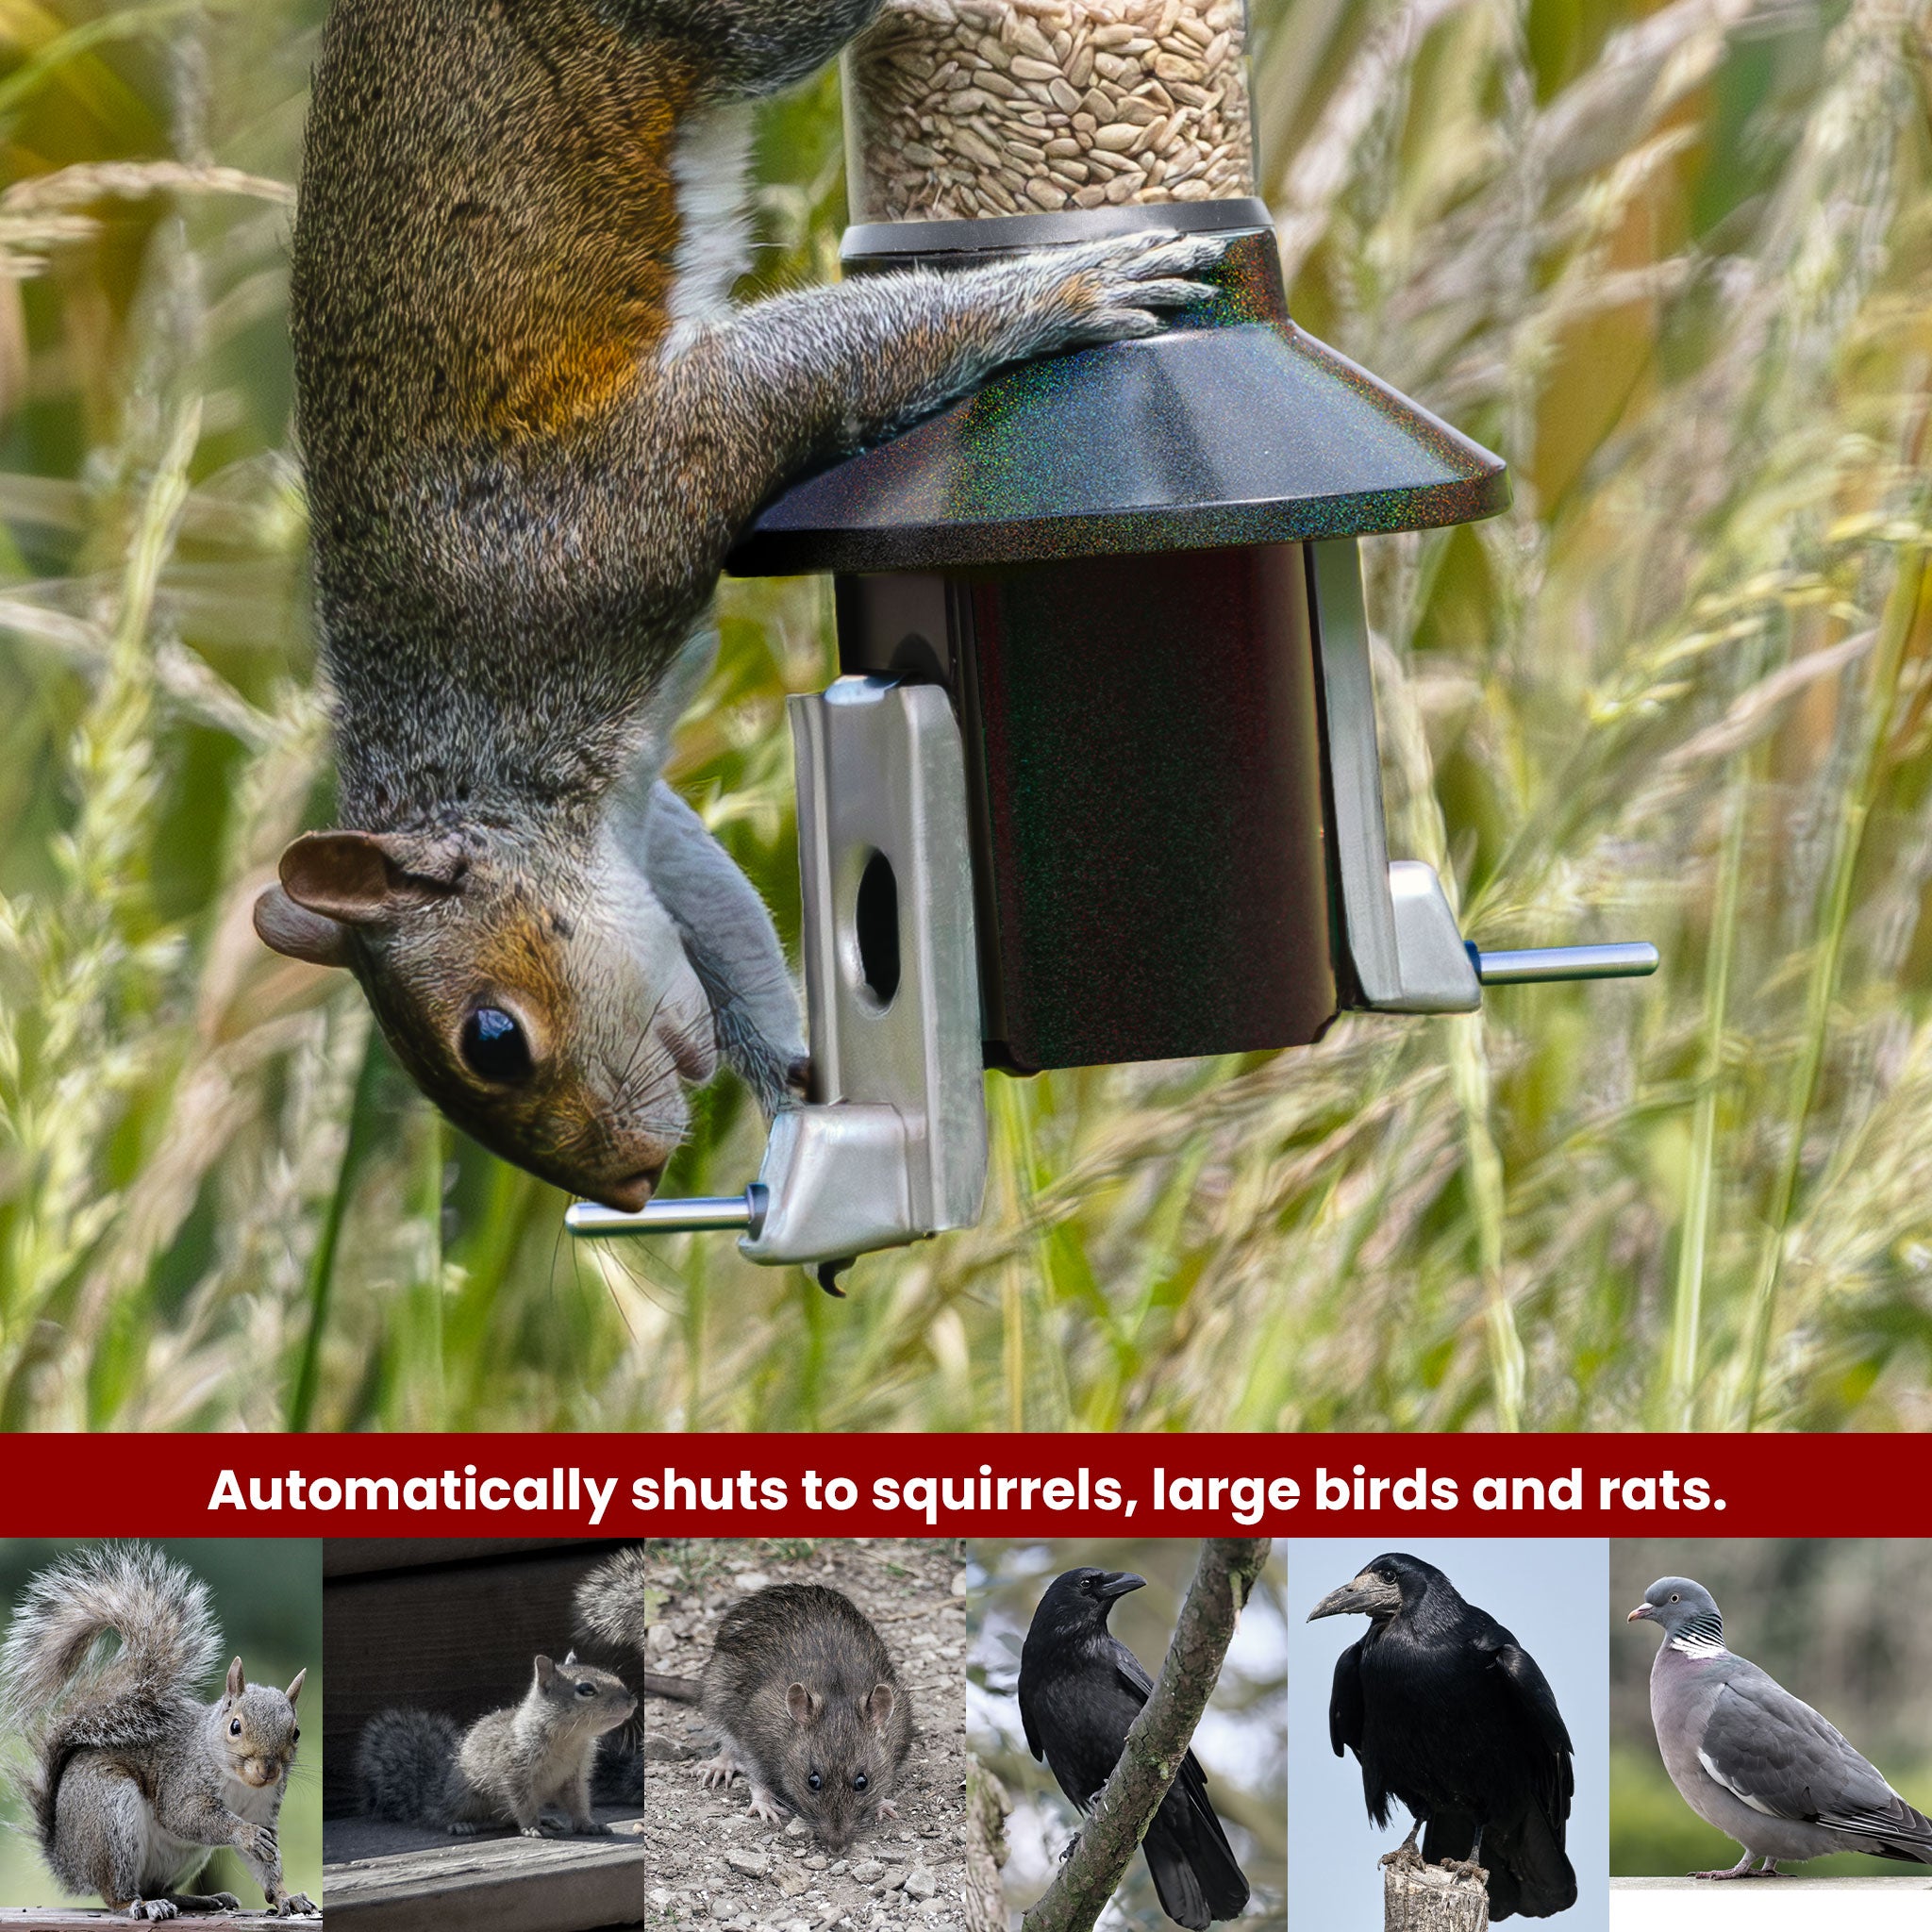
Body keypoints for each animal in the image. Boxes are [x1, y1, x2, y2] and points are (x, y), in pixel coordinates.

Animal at [0, 1543, 317, 1922]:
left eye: (295, 1733)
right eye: (235, 1726)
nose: (268, 1770)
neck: (239, 1782)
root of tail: (68, 1861)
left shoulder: (264, 1807)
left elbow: (266, 1864)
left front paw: (287, 1897)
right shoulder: (182, 1782)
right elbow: (187, 1816)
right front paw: (246, 1834)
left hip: (182, 1856)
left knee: (159, 1887)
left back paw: (199, 1900)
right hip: (111, 1815)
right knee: (117, 1893)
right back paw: (140, 1904)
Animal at [256, 0, 1225, 1208]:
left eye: (492, 1039)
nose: (628, 1187)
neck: (470, 730)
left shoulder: (614, 510)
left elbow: (818, 369)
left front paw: (1068, 290)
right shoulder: (641, 822)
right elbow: (713, 915)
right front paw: (795, 1082)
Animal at [357, 1652, 638, 1837]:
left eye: (609, 1673)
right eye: (586, 1689)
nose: (631, 1701)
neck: (570, 1739)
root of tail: (433, 1794)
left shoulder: (575, 1777)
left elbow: (578, 1802)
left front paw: (588, 1824)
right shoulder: (515, 1771)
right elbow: (522, 1803)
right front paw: (532, 1827)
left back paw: (546, 1819)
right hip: (465, 1796)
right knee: (449, 1814)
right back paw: (461, 1824)